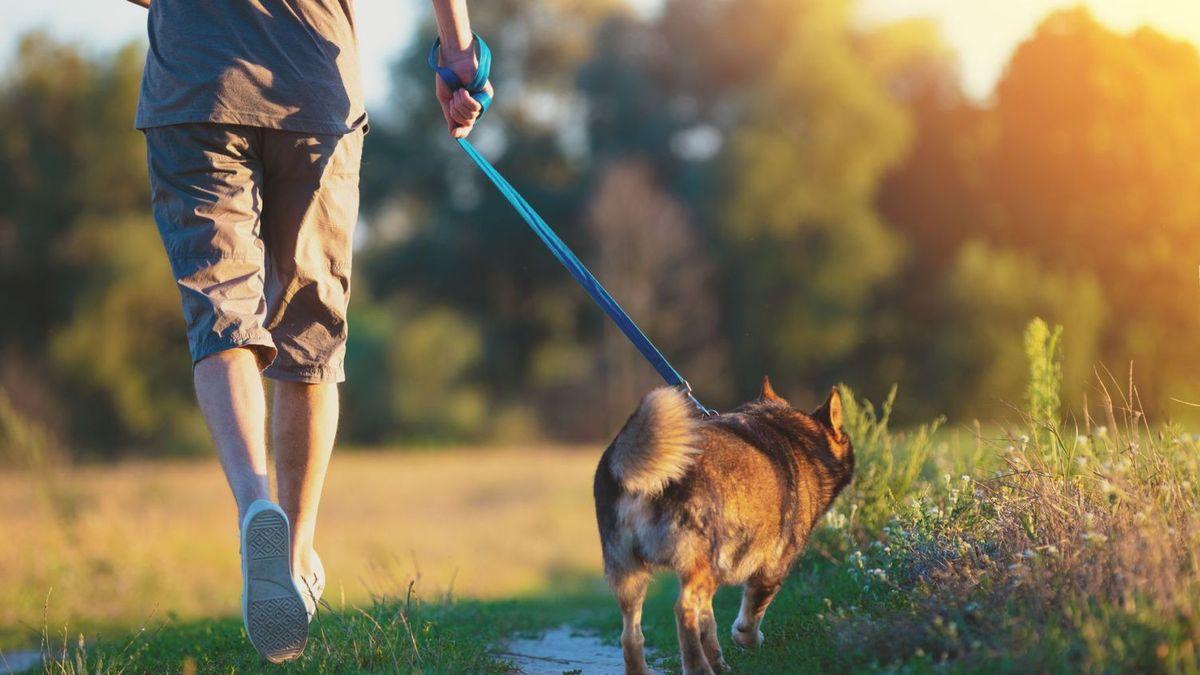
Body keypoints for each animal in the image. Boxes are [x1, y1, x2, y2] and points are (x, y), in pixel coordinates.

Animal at [590, 374, 854, 667]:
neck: (795, 436)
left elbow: (709, 625)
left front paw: (719, 663)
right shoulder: (773, 569)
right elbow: (751, 614)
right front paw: (746, 639)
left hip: (629, 574)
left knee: (631, 636)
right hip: (701, 565)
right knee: (683, 610)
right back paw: (697, 668)